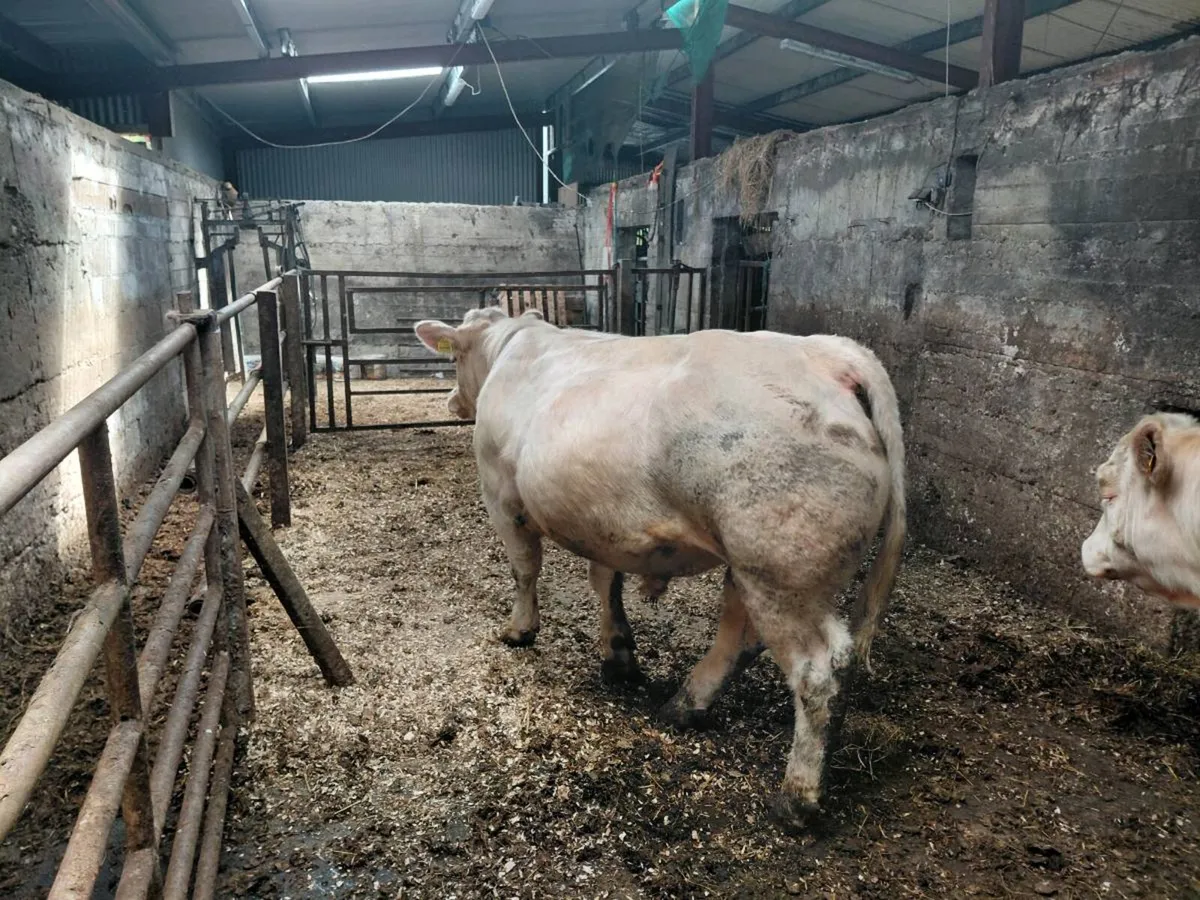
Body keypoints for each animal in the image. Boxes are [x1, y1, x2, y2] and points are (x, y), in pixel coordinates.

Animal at [414, 307, 907, 827]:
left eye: (455, 357)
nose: (451, 401)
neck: (512, 344)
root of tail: (827, 352)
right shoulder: (600, 522)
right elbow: (605, 582)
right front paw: (618, 654)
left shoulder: (502, 495)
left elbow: (524, 568)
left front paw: (519, 630)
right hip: (756, 568)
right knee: (740, 636)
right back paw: (686, 705)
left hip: (783, 569)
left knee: (818, 669)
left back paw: (797, 798)